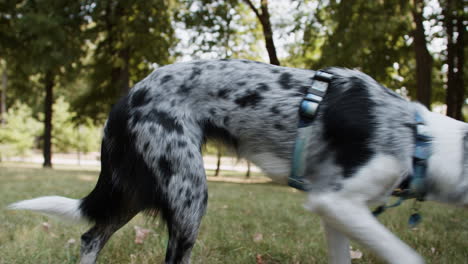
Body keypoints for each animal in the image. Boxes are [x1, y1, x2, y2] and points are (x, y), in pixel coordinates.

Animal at [7, 59, 468, 264]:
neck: (419, 139)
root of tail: (124, 100)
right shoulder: (337, 204)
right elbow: (405, 255)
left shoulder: (337, 210)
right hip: (189, 197)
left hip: (139, 190)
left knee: (91, 236)